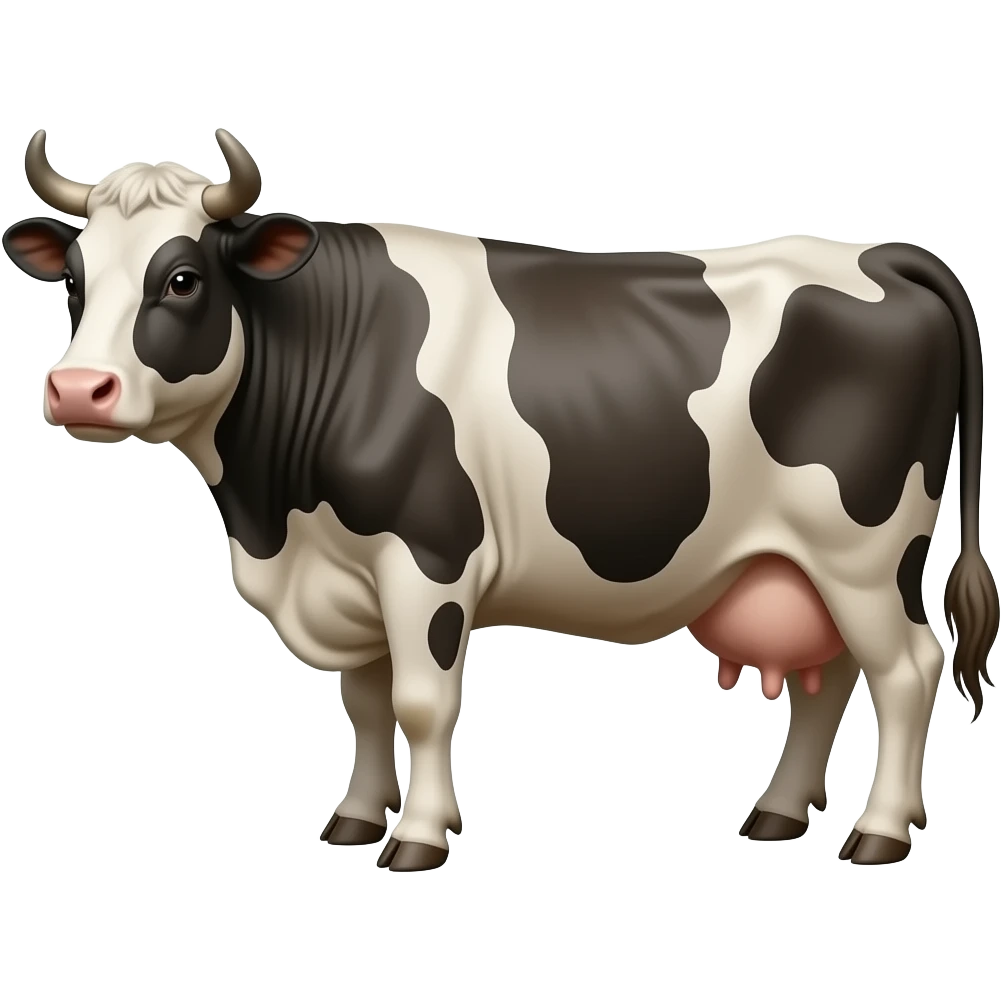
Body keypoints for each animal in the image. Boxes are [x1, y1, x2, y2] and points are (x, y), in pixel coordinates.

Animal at [8, 128, 997, 871]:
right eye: (74, 281)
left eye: (182, 279)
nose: (78, 389)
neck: (273, 516)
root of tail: (878, 251)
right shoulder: (348, 574)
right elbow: (364, 703)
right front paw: (355, 817)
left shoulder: (427, 556)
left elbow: (419, 701)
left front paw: (416, 837)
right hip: (796, 562)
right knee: (830, 679)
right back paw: (778, 814)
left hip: (864, 551)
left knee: (907, 670)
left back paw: (877, 833)